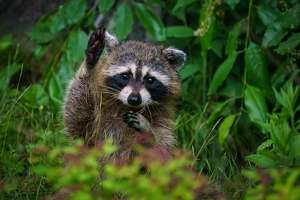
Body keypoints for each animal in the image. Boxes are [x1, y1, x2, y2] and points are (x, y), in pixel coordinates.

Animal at [63, 26, 185, 164]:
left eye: (150, 80)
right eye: (125, 76)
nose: (134, 99)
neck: (126, 107)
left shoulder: (164, 127)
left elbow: (161, 158)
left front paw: (147, 132)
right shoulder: (93, 126)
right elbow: (76, 122)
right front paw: (90, 63)